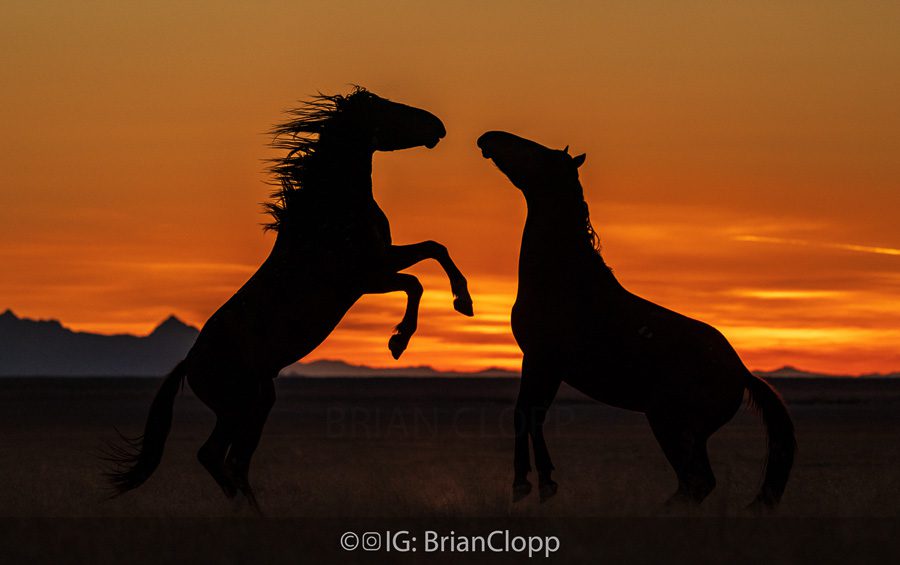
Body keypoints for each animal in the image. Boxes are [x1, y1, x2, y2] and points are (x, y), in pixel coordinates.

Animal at [103, 87, 472, 506]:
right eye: (387, 108)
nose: (437, 126)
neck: (326, 211)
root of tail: (189, 363)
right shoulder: (364, 277)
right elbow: (416, 281)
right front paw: (400, 341)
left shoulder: (379, 263)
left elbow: (434, 249)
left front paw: (463, 302)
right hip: (237, 406)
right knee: (215, 456)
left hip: (261, 400)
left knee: (234, 461)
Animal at [478, 131, 796, 506]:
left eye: (537, 152)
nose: (489, 138)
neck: (565, 279)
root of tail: (742, 372)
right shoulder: (539, 363)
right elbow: (530, 416)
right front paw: (539, 482)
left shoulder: (544, 362)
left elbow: (526, 415)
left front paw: (529, 484)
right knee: (694, 483)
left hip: (671, 426)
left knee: (696, 482)